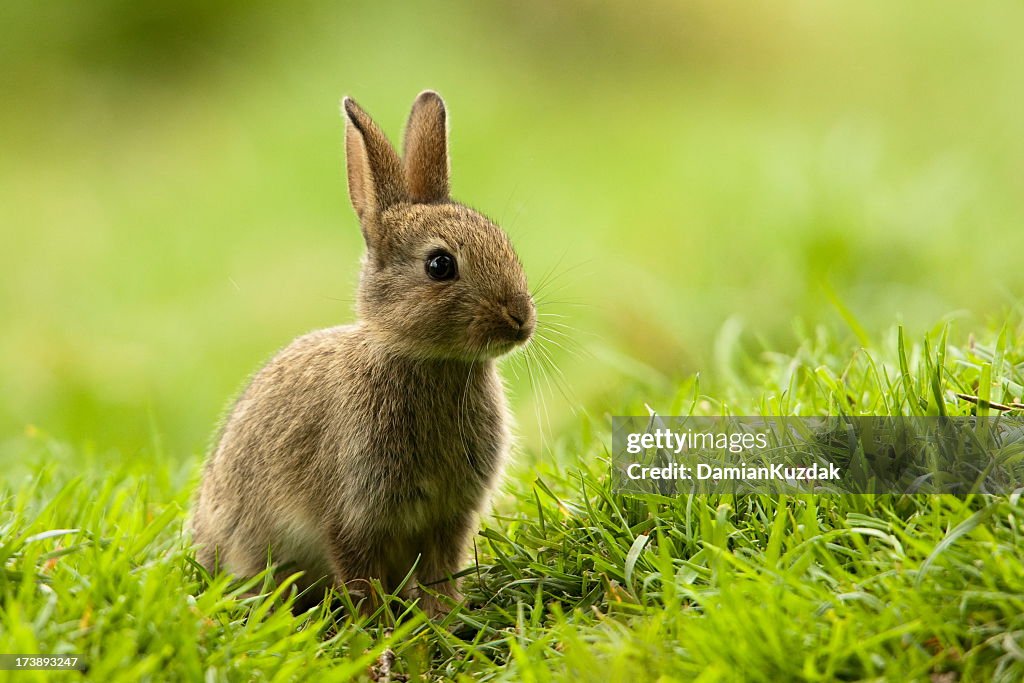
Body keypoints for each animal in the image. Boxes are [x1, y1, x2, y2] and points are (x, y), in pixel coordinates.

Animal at [189, 88, 536, 618]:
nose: (520, 318)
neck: (426, 360)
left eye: (504, 243)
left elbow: (440, 567)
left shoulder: (449, 515)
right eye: (440, 265)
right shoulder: (352, 511)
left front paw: (445, 615)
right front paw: (379, 624)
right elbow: (358, 570)